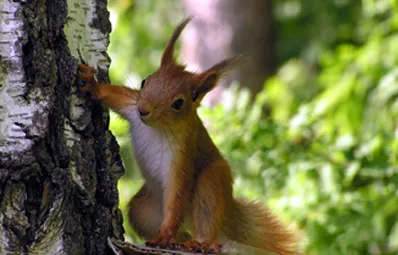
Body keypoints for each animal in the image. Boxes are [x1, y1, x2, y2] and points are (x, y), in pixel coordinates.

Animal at [77, 18, 296, 255]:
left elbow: (177, 196)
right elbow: (114, 96)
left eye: (179, 103)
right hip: (144, 210)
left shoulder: (183, 155)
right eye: (145, 81)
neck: (158, 127)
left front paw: (165, 235)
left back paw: (201, 243)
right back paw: (179, 241)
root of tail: (228, 214)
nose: (143, 110)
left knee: (207, 221)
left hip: (212, 183)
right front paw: (92, 85)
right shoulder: (131, 106)